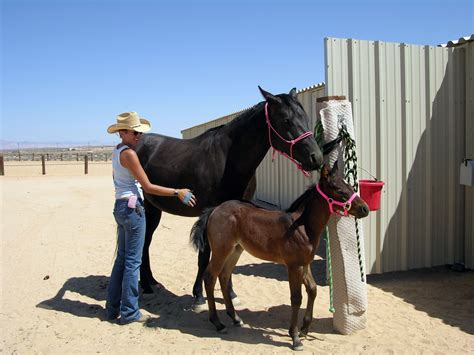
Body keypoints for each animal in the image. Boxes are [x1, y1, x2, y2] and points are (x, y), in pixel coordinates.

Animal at [135, 86, 324, 308]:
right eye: (286, 120)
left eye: (305, 117)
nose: (316, 157)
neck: (229, 160)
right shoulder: (209, 213)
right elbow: (204, 257)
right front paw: (198, 296)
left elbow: (230, 258)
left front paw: (231, 294)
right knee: (142, 242)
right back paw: (147, 287)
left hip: (154, 209)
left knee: (146, 242)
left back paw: (151, 282)